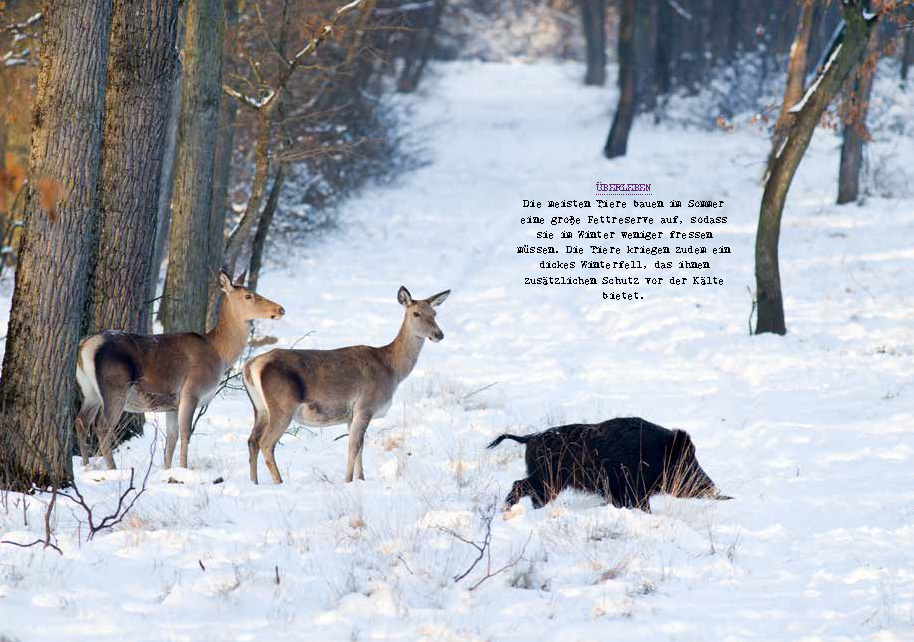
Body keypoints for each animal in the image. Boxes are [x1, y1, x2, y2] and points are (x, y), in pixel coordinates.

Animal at [75, 268, 284, 468]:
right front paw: (183, 469)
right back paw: (112, 468)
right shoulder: (191, 392)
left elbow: (171, 439)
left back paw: (86, 466)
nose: (280, 309)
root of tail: (85, 347)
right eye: (248, 296)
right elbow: (185, 434)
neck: (219, 354)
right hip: (115, 388)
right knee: (102, 427)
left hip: (90, 391)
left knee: (81, 420)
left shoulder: (171, 405)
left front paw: (167, 469)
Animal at [244, 282, 448, 482]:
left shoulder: (352, 415)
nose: (439, 334)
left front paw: (361, 479)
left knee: (252, 441)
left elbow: (360, 448)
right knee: (266, 443)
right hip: (283, 406)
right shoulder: (365, 406)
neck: (391, 369)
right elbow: (353, 447)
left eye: (435, 313)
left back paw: (254, 482)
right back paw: (279, 482)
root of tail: (252, 365)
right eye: (416, 313)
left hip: (260, 409)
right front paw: (348, 481)